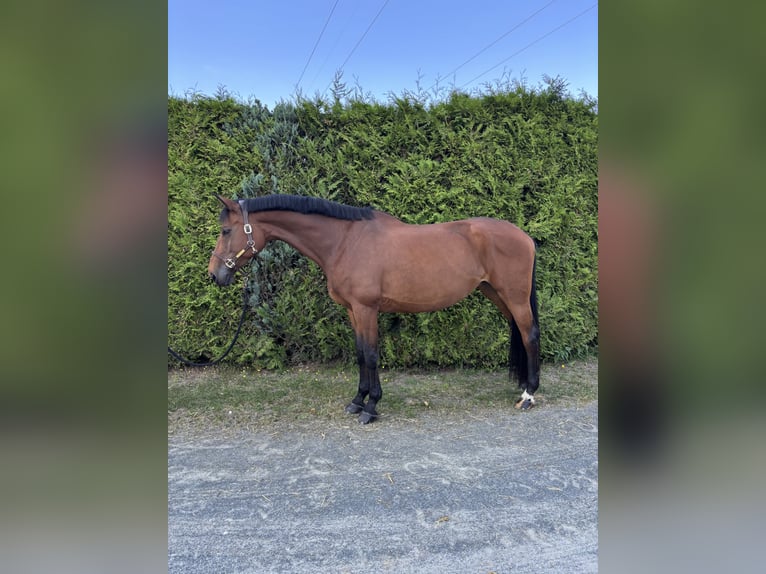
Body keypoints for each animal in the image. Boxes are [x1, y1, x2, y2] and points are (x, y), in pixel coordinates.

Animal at [208, 194, 540, 424]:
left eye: (225, 231)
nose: (214, 274)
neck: (344, 242)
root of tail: (525, 237)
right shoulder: (352, 311)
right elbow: (359, 354)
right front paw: (357, 401)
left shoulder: (366, 309)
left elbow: (370, 354)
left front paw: (371, 408)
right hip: (496, 294)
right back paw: (524, 387)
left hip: (514, 297)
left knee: (530, 335)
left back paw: (529, 395)